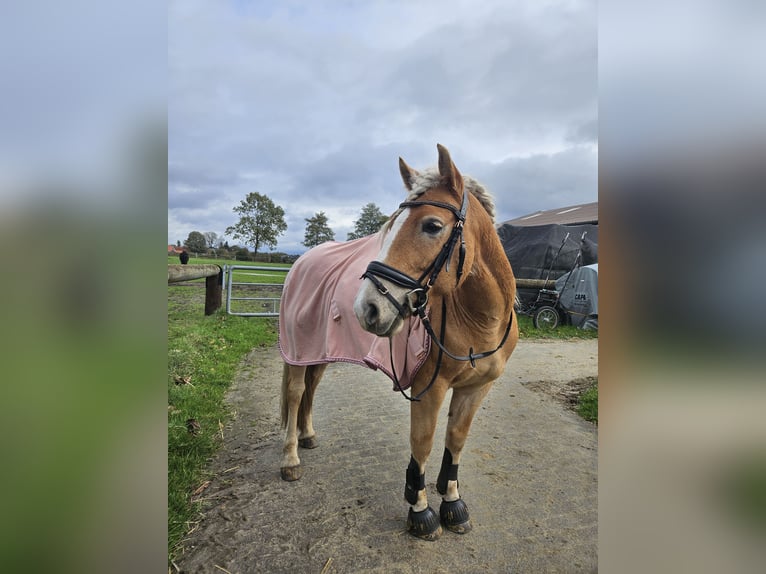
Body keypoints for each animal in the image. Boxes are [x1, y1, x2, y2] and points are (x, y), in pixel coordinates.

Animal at [279, 144, 518, 540]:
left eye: (432, 225)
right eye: (390, 226)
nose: (367, 308)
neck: (477, 320)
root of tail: (303, 260)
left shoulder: (476, 388)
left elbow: (455, 440)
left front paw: (452, 503)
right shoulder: (429, 388)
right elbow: (422, 443)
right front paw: (421, 511)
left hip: (320, 351)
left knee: (312, 388)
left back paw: (308, 435)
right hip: (297, 351)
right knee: (297, 392)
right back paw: (290, 459)